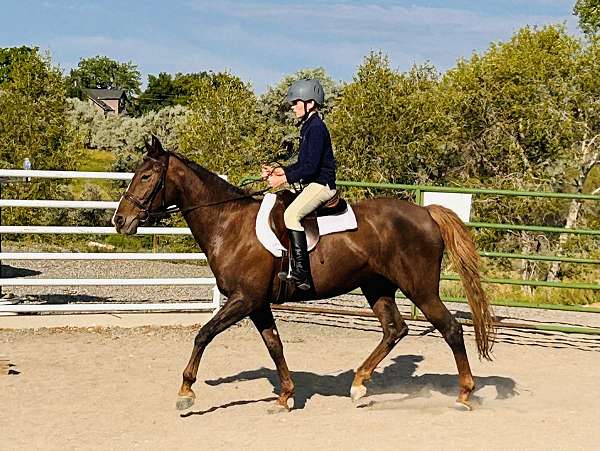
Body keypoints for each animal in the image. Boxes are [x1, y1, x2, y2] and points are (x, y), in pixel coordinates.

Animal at [113, 137, 496, 414]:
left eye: (146, 176)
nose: (120, 220)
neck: (229, 223)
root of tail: (426, 213)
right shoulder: (257, 303)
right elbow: (274, 345)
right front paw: (285, 396)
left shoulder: (243, 299)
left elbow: (203, 334)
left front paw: (186, 392)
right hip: (376, 286)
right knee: (394, 329)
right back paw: (359, 384)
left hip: (420, 289)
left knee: (450, 329)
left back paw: (464, 395)